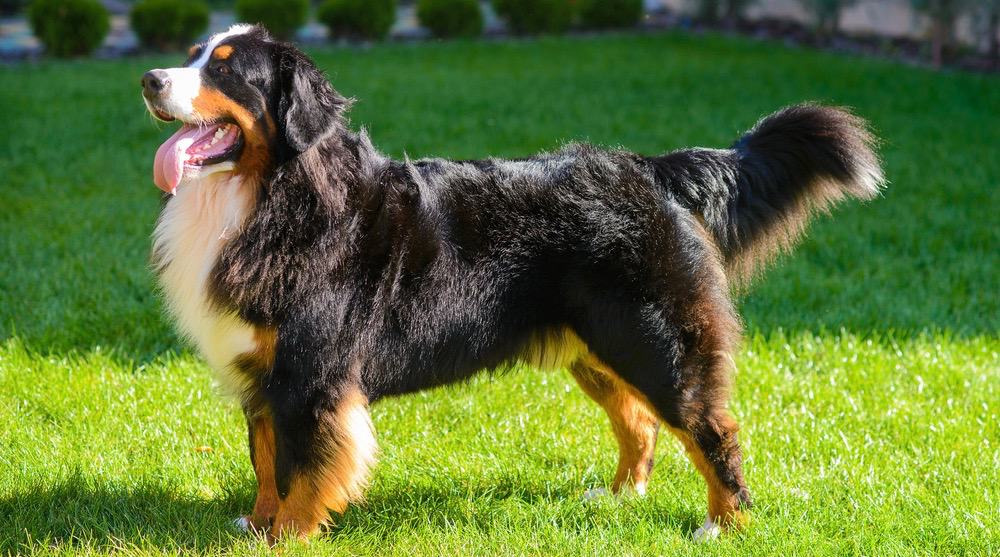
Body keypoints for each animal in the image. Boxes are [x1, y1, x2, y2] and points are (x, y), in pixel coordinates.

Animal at [139, 26, 884, 544]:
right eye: (194, 52)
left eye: (226, 68)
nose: (149, 79)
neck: (267, 196)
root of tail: (649, 168)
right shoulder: (261, 370)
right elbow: (267, 459)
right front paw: (257, 524)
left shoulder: (310, 373)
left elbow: (303, 465)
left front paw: (288, 535)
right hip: (599, 344)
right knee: (639, 424)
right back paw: (618, 497)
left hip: (656, 344)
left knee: (710, 429)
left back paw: (723, 525)